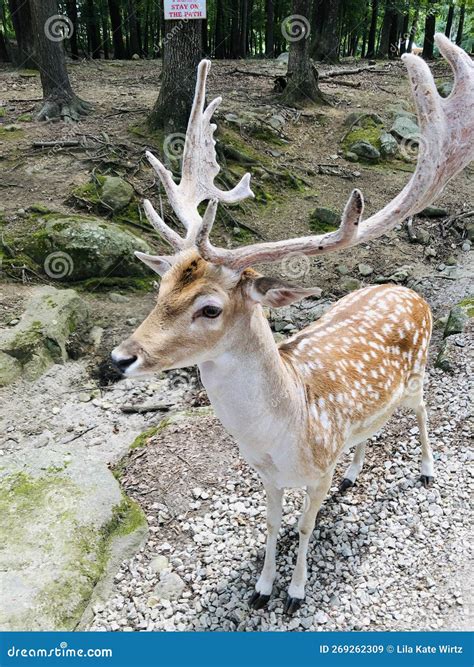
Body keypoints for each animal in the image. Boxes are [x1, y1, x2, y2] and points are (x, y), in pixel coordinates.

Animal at [113, 35, 474, 612]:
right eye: (160, 288)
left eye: (210, 308)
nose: (121, 358)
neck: (287, 433)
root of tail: (407, 290)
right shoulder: (266, 475)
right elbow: (271, 524)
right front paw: (262, 589)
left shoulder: (315, 472)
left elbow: (305, 527)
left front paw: (297, 592)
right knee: (371, 429)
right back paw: (355, 474)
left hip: (419, 373)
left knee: (420, 412)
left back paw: (426, 468)